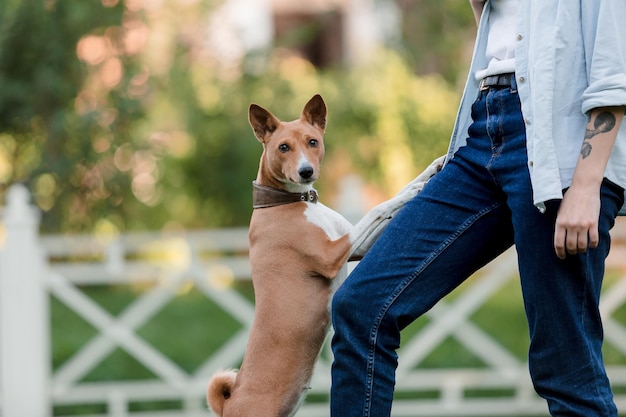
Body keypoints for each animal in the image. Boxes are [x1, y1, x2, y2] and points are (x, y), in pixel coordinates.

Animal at [207, 95, 442, 416]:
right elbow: (378, 207)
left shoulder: (356, 248)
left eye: (313, 142)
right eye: (283, 147)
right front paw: (412, 192)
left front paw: (432, 169)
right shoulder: (333, 255)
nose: (306, 171)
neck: (288, 202)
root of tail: (229, 404)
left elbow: (391, 199)